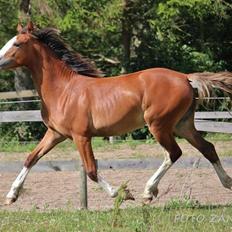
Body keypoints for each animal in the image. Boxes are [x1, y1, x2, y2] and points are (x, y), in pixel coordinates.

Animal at [0, 20, 232, 204]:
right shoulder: (55, 134)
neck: (64, 90)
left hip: (159, 124)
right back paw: (227, 182)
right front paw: (11, 195)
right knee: (207, 148)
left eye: (17, 43)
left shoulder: (81, 136)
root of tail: (185, 77)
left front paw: (122, 194)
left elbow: (91, 170)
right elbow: (30, 158)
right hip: (182, 125)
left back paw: (148, 191)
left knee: (174, 153)